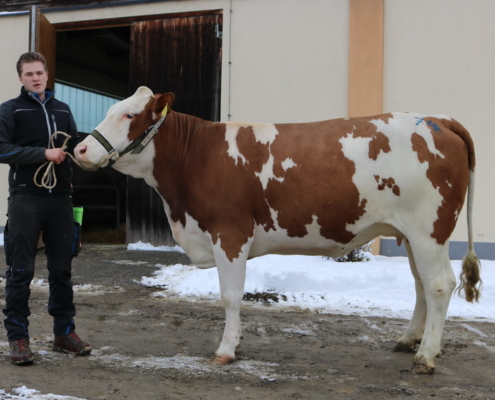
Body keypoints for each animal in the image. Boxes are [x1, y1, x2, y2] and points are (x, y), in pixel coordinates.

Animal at [73, 86, 480, 374]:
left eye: (129, 114)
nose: (79, 149)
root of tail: (438, 119)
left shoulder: (230, 232)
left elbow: (230, 296)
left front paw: (226, 350)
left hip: (429, 230)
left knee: (439, 284)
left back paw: (425, 356)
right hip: (412, 235)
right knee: (421, 285)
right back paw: (409, 340)